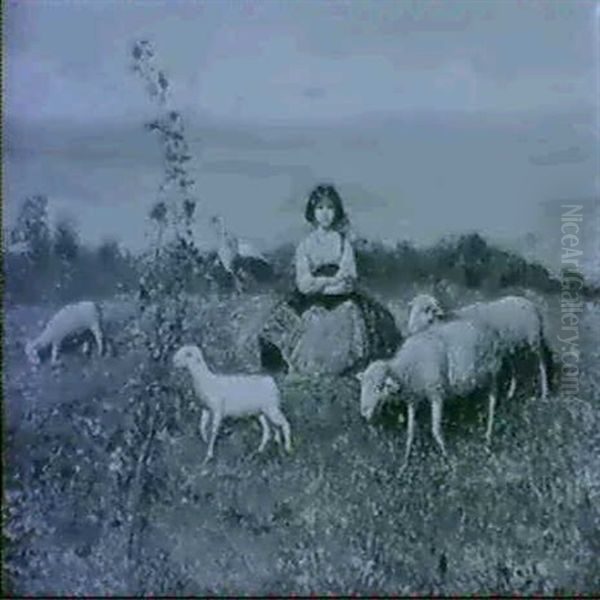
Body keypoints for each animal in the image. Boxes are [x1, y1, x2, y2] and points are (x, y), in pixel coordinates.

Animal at [358, 318, 504, 468]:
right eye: (362, 386)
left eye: (379, 387)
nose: (364, 412)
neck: (406, 370)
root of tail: (493, 332)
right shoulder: (413, 399)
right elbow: (410, 432)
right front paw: (405, 461)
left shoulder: (436, 394)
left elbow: (436, 430)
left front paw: (449, 459)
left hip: (491, 370)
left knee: (493, 397)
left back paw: (488, 435)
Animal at [406, 294, 552, 398]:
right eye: (419, 309)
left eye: (431, 308)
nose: (411, 329)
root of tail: (531, 304)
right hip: (511, 348)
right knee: (515, 368)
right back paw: (511, 392)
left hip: (534, 340)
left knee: (542, 363)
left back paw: (545, 392)